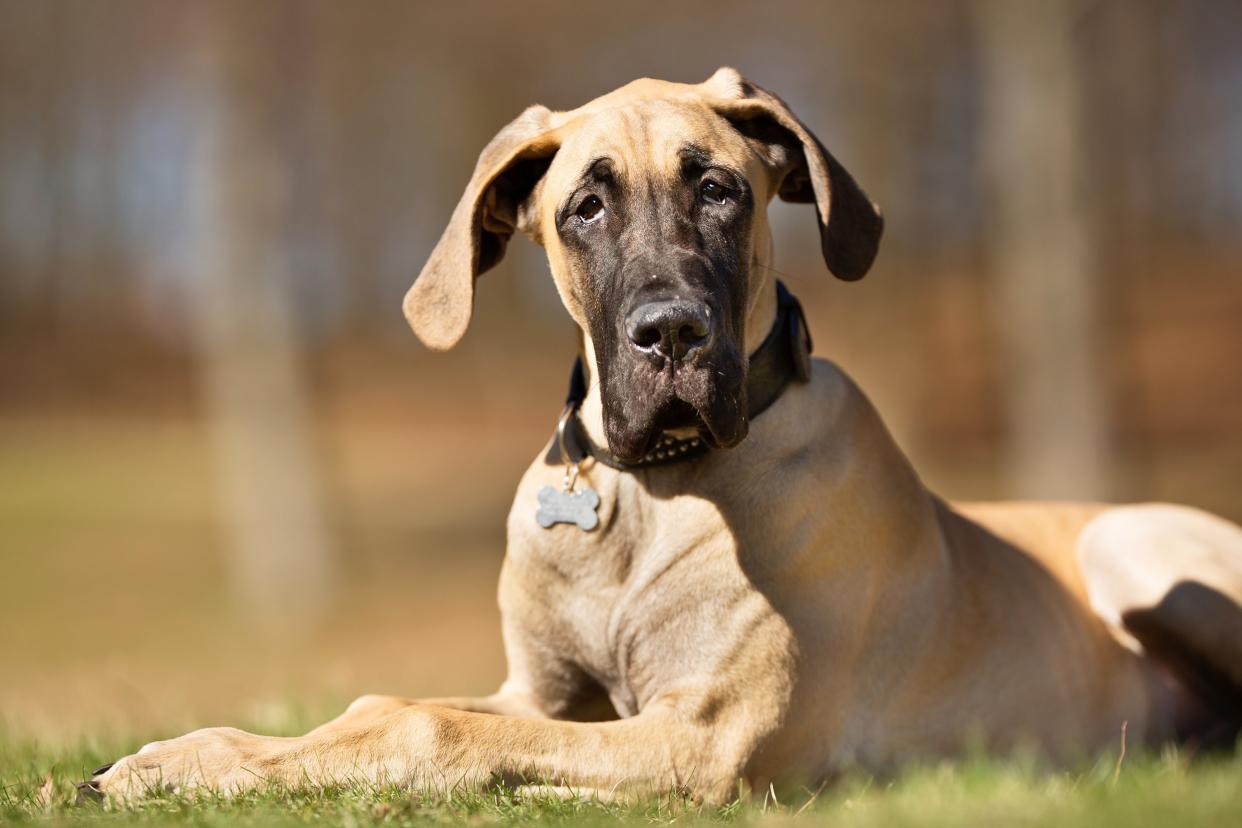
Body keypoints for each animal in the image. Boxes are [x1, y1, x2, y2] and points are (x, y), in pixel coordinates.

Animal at [90, 67, 1242, 804]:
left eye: (721, 189)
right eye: (586, 206)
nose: (672, 334)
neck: (647, 488)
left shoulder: (705, 733)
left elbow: (425, 721)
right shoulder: (539, 694)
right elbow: (389, 704)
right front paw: (186, 758)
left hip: (1134, 544)